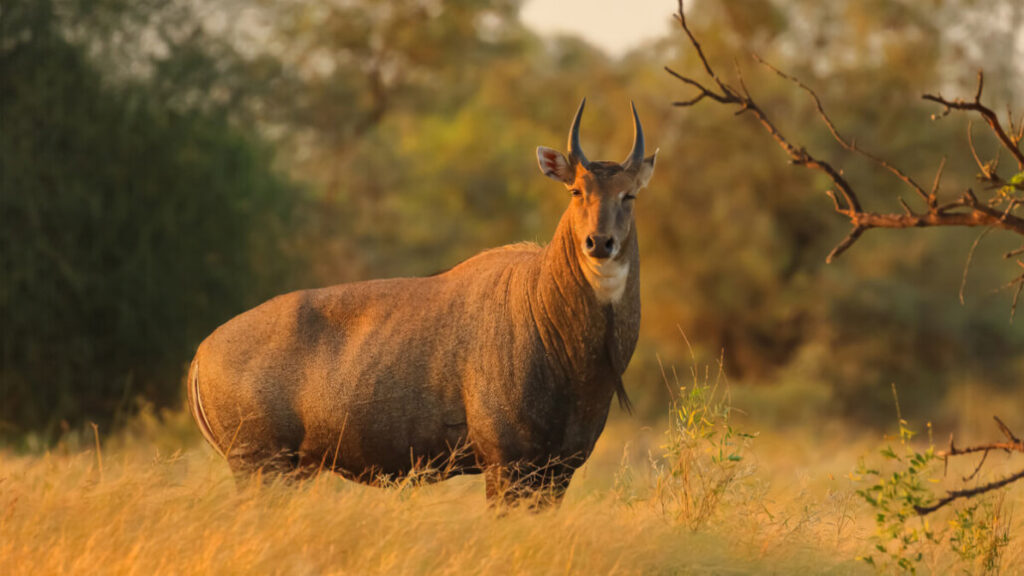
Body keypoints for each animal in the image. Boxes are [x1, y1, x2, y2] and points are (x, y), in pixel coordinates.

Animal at [187, 99, 657, 506]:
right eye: (576, 190)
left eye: (629, 194)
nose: (599, 243)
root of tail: (200, 355)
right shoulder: (506, 463)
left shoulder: (558, 470)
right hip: (260, 466)